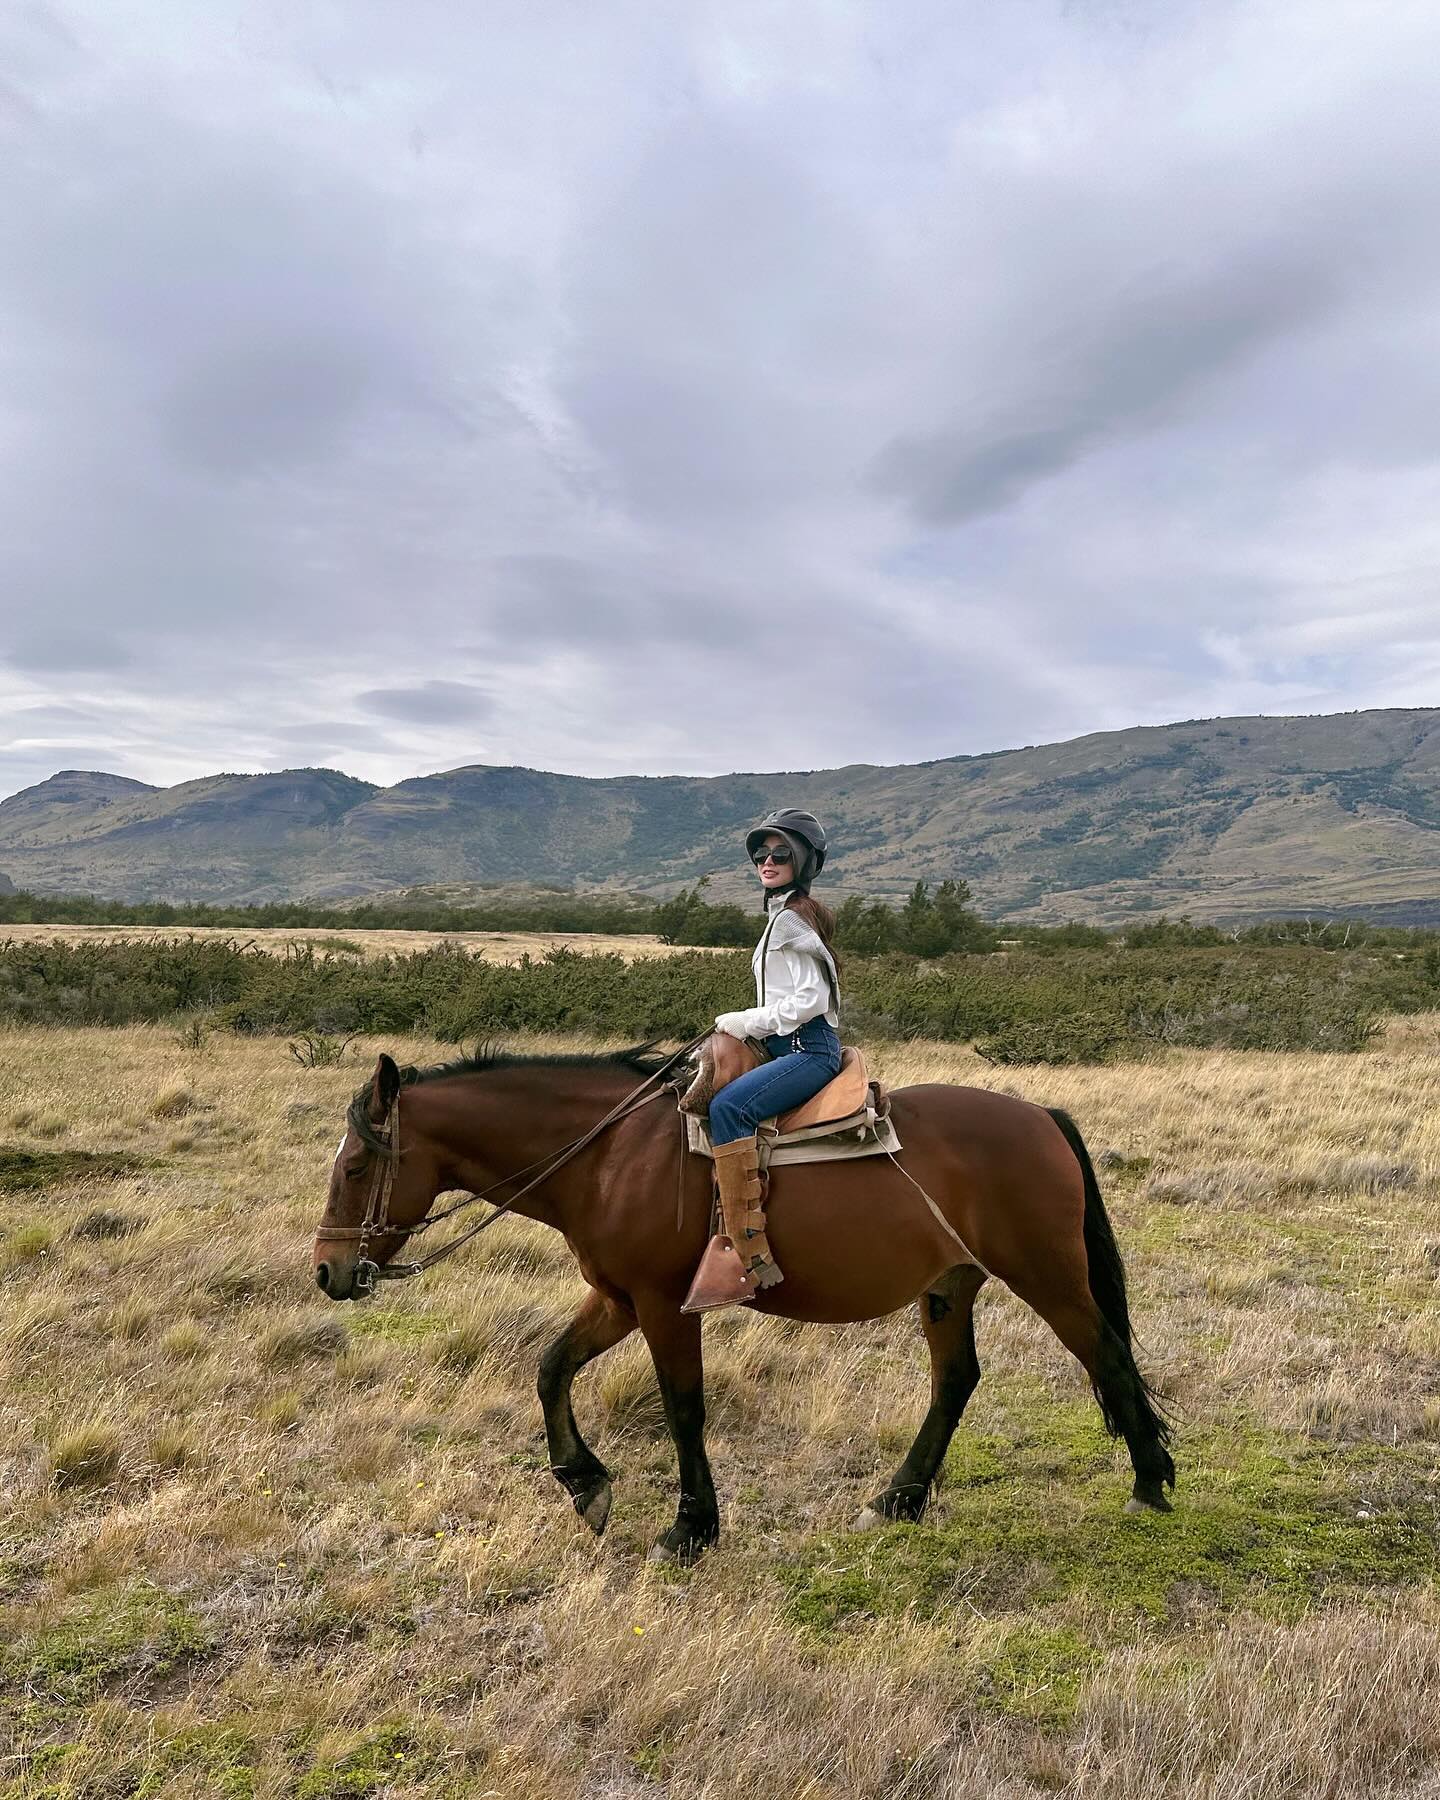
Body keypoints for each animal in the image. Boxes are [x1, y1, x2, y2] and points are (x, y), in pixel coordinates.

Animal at [311, 1044, 1166, 1562]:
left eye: (354, 1166)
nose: (327, 1270)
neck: (610, 1156)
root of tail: (1042, 1117)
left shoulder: (662, 1305)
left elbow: (683, 1408)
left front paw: (690, 1528)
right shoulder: (617, 1298)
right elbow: (551, 1366)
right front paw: (585, 1484)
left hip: (1049, 1277)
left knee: (1109, 1356)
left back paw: (1151, 1486)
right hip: (949, 1286)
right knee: (955, 1382)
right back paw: (896, 1500)